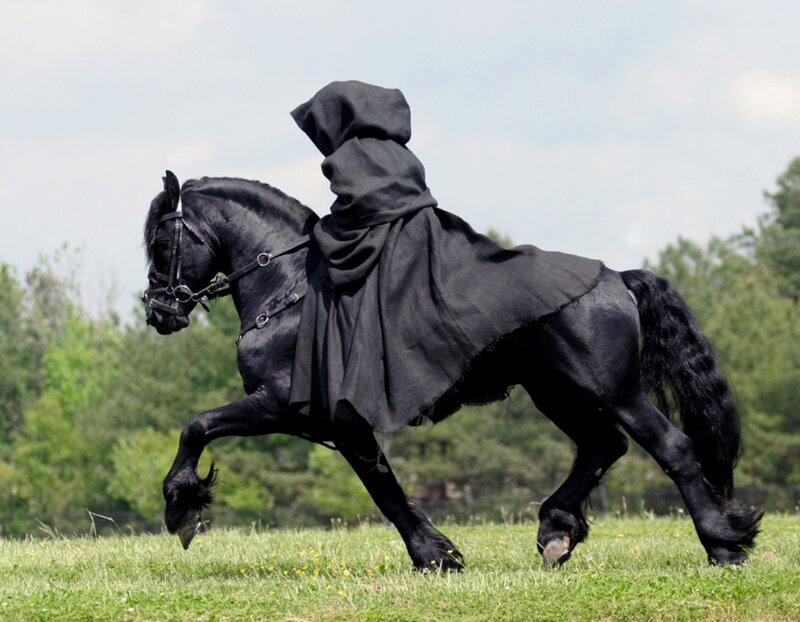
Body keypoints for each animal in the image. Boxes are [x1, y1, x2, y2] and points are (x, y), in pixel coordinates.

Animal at [142, 170, 762, 570]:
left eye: (160, 237)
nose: (158, 313)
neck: (292, 289)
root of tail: (616, 276)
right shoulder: (337, 424)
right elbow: (383, 485)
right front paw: (437, 554)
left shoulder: (285, 407)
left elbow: (197, 426)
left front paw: (181, 506)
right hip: (559, 393)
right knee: (602, 447)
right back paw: (556, 531)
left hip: (613, 391)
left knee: (671, 448)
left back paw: (723, 546)